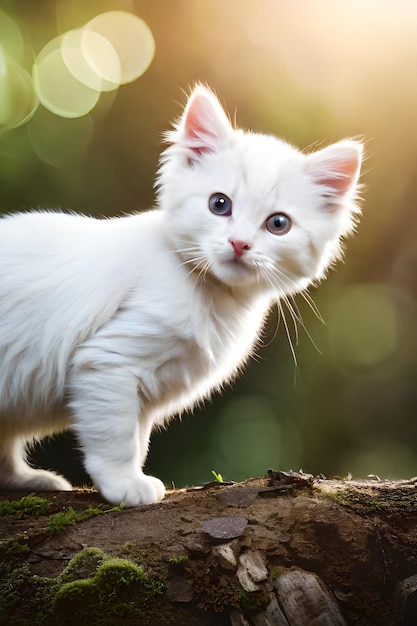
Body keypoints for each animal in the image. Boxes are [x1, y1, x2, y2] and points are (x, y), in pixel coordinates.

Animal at [0, 84, 360, 502]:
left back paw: (25, 479)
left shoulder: (141, 390)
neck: (211, 295)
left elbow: (137, 437)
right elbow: (116, 437)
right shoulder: (108, 363)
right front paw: (124, 485)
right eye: (220, 204)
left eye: (278, 224)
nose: (239, 243)